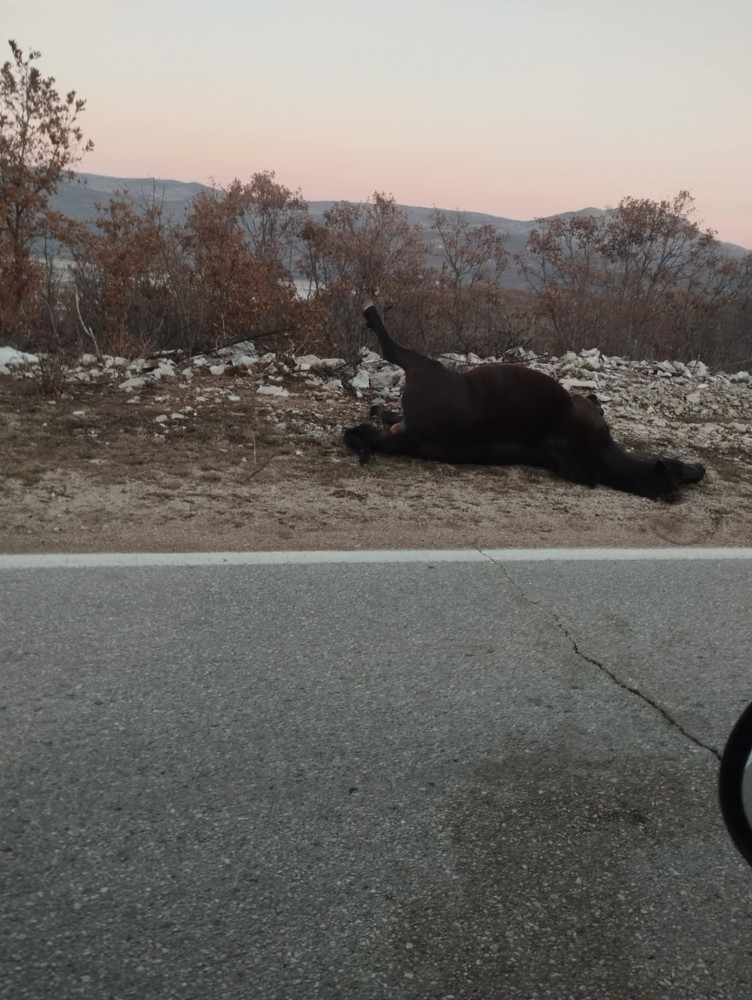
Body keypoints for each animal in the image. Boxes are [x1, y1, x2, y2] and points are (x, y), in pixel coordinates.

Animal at [343, 303, 705, 501]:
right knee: (365, 425)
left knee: (388, 360)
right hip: (406, 421)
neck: (601, 458)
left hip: (422, 374)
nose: (701, 469)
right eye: (679, 466)